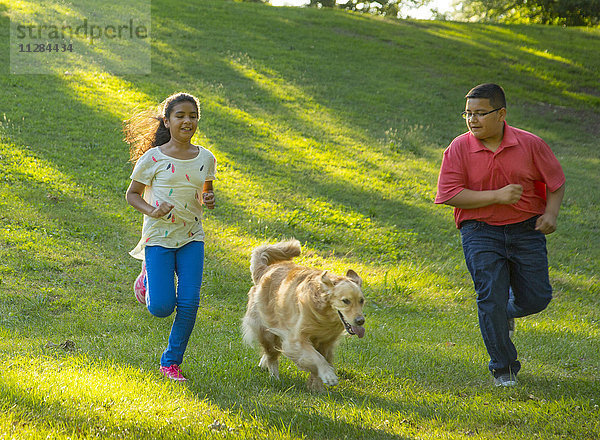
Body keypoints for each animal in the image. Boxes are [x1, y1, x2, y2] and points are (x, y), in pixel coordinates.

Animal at [240, 241, 366, 392]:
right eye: (345, 301)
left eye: (361, 301)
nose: (360, 321)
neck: (323, 314)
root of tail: (265, 270)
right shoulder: (296, 339)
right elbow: (317, 358)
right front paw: (328, 375)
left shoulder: (326, 342)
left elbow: (323, 358)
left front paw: (317, 386)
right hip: (264, 329)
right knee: (272, 356)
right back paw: (274, 377)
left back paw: (264, 363)